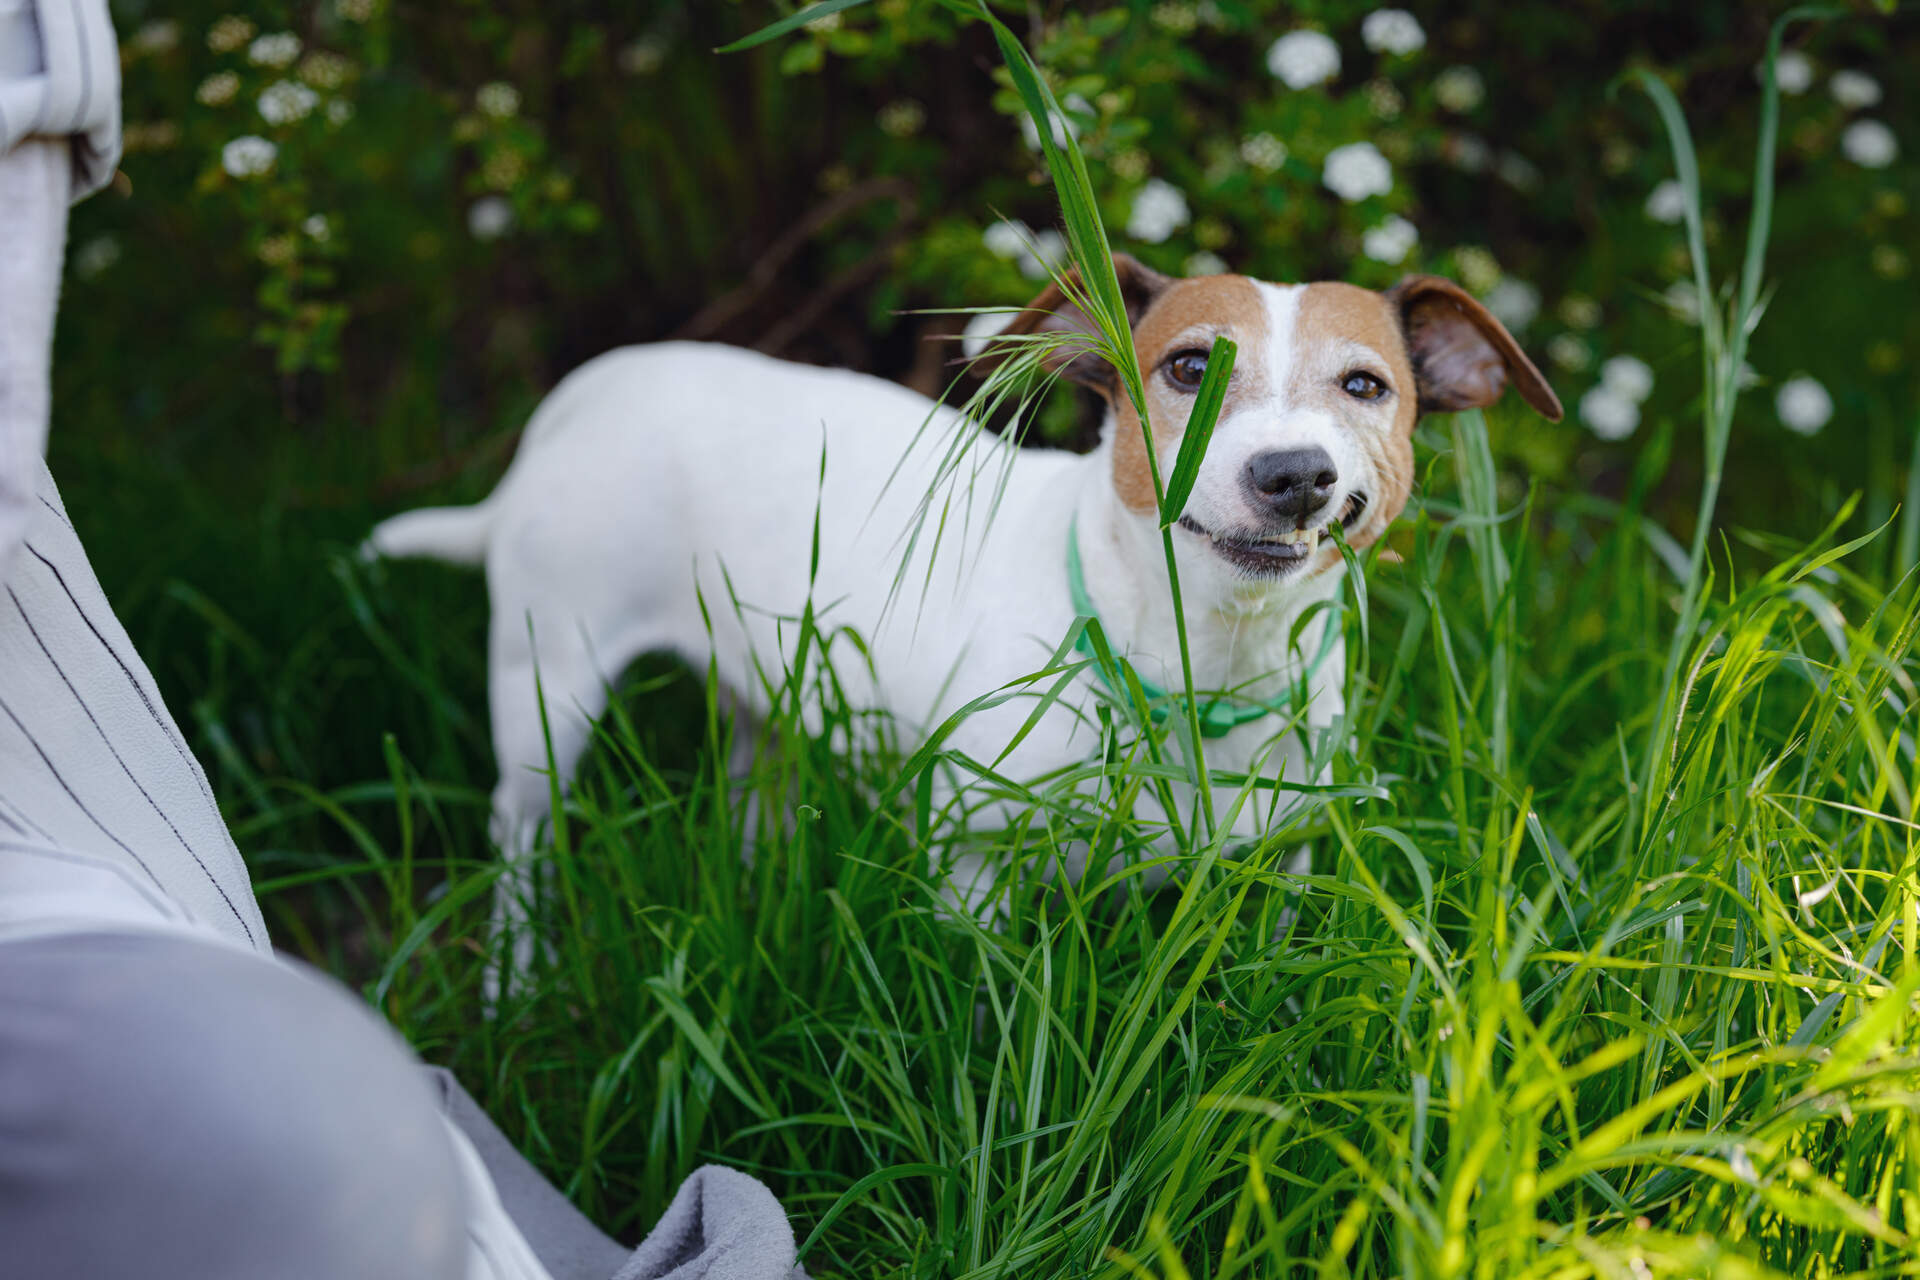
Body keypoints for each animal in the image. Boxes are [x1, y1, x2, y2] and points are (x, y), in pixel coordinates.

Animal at [370, 255, 1559, 940]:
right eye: (1185, 369)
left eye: (1365, 386)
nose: (1294, 473)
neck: (1190, 671)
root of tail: (580, 395)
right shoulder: (974, 870)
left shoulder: (1278, 866)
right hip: (546, 691)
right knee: (520, 837)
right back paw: (518, 973)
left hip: (766, 692)